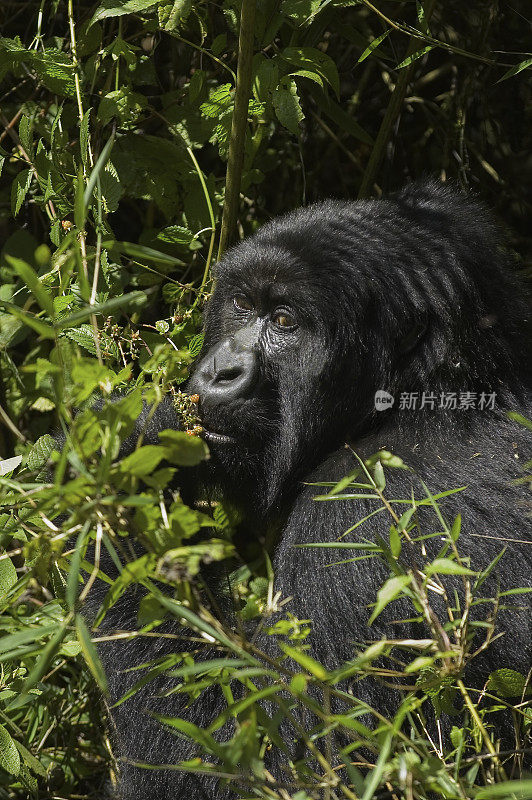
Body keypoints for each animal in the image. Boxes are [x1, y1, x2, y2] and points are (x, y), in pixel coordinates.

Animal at [85, 183, 528, 800]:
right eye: (242, 307)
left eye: (285, 320)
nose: (220, 371)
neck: (431, 394)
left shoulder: (351, 520)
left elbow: (285, 766)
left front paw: (117, 467)